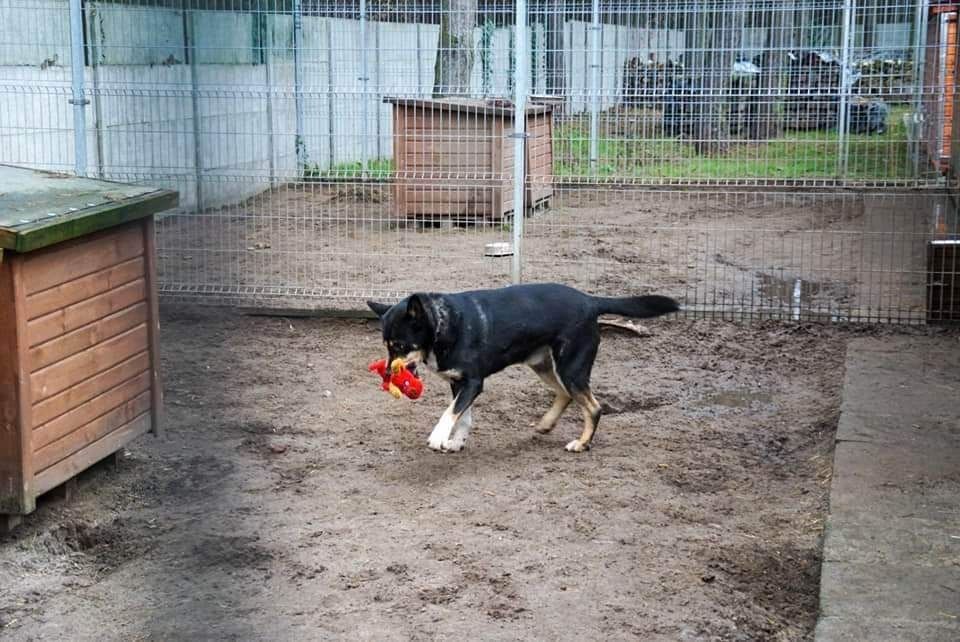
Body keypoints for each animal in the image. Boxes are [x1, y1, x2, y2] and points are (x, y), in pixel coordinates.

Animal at [368, 282, 676, 452]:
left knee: (593, 407)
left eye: (400, 345)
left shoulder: (473, 382)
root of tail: (590, 300)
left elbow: (451, 412)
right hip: (543, 364)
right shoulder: (459, 383)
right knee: (564, 395)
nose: (387, 374)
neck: (444, 324)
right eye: (386, 345)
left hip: (571, 367)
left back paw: (582, 443)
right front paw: (457, 442)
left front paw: (439, 436)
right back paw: (546, 424)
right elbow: (463, 415)